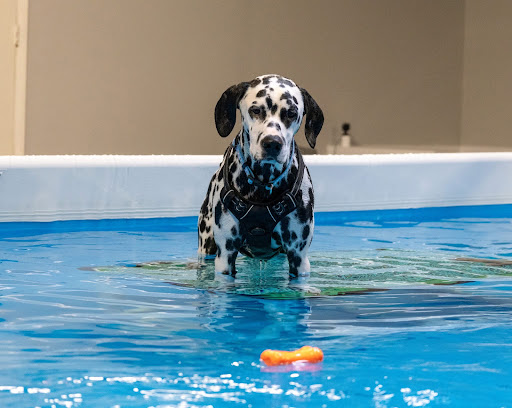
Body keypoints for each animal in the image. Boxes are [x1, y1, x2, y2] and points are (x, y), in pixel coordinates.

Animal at [197, 75, 322, 278]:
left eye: (291, 113)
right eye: (255, 110)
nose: (272, 142)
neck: (263, 187)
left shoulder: (298, 255)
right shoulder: (226, 254)